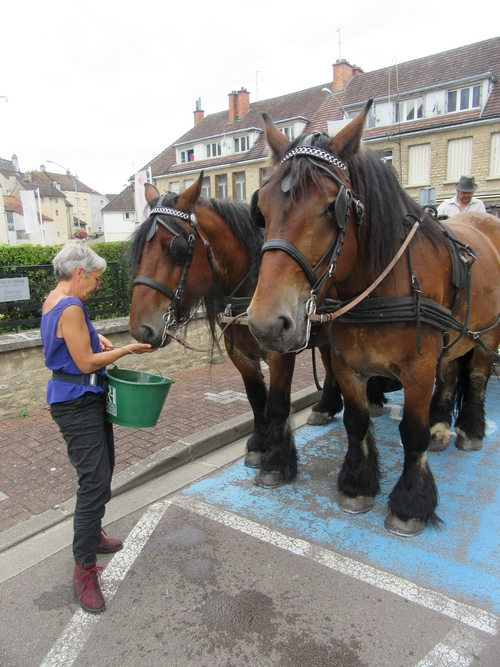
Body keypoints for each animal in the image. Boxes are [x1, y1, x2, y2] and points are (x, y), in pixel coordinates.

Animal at [129, 175, 350, 488]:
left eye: (176, 249)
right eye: (139, 250)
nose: (140, 329)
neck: (251, 286)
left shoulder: (280, 353)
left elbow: (278, 404)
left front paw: (277, 461)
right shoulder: (240, 353)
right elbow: (256, 398)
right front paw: (259, 444)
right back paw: (325, 407)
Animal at [248, 100, 500, 536]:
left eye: (331, 206)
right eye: (260, 209)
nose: (267, 324)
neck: (377, 286)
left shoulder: (418, 367)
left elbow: (411, 433)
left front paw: (411, 502)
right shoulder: (346, 363)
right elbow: (356, 420)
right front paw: (357, 482)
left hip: (487, 333)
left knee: (479, 378)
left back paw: (468, 429)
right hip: (452, 339)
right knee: (452, 372)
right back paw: (441, 425)